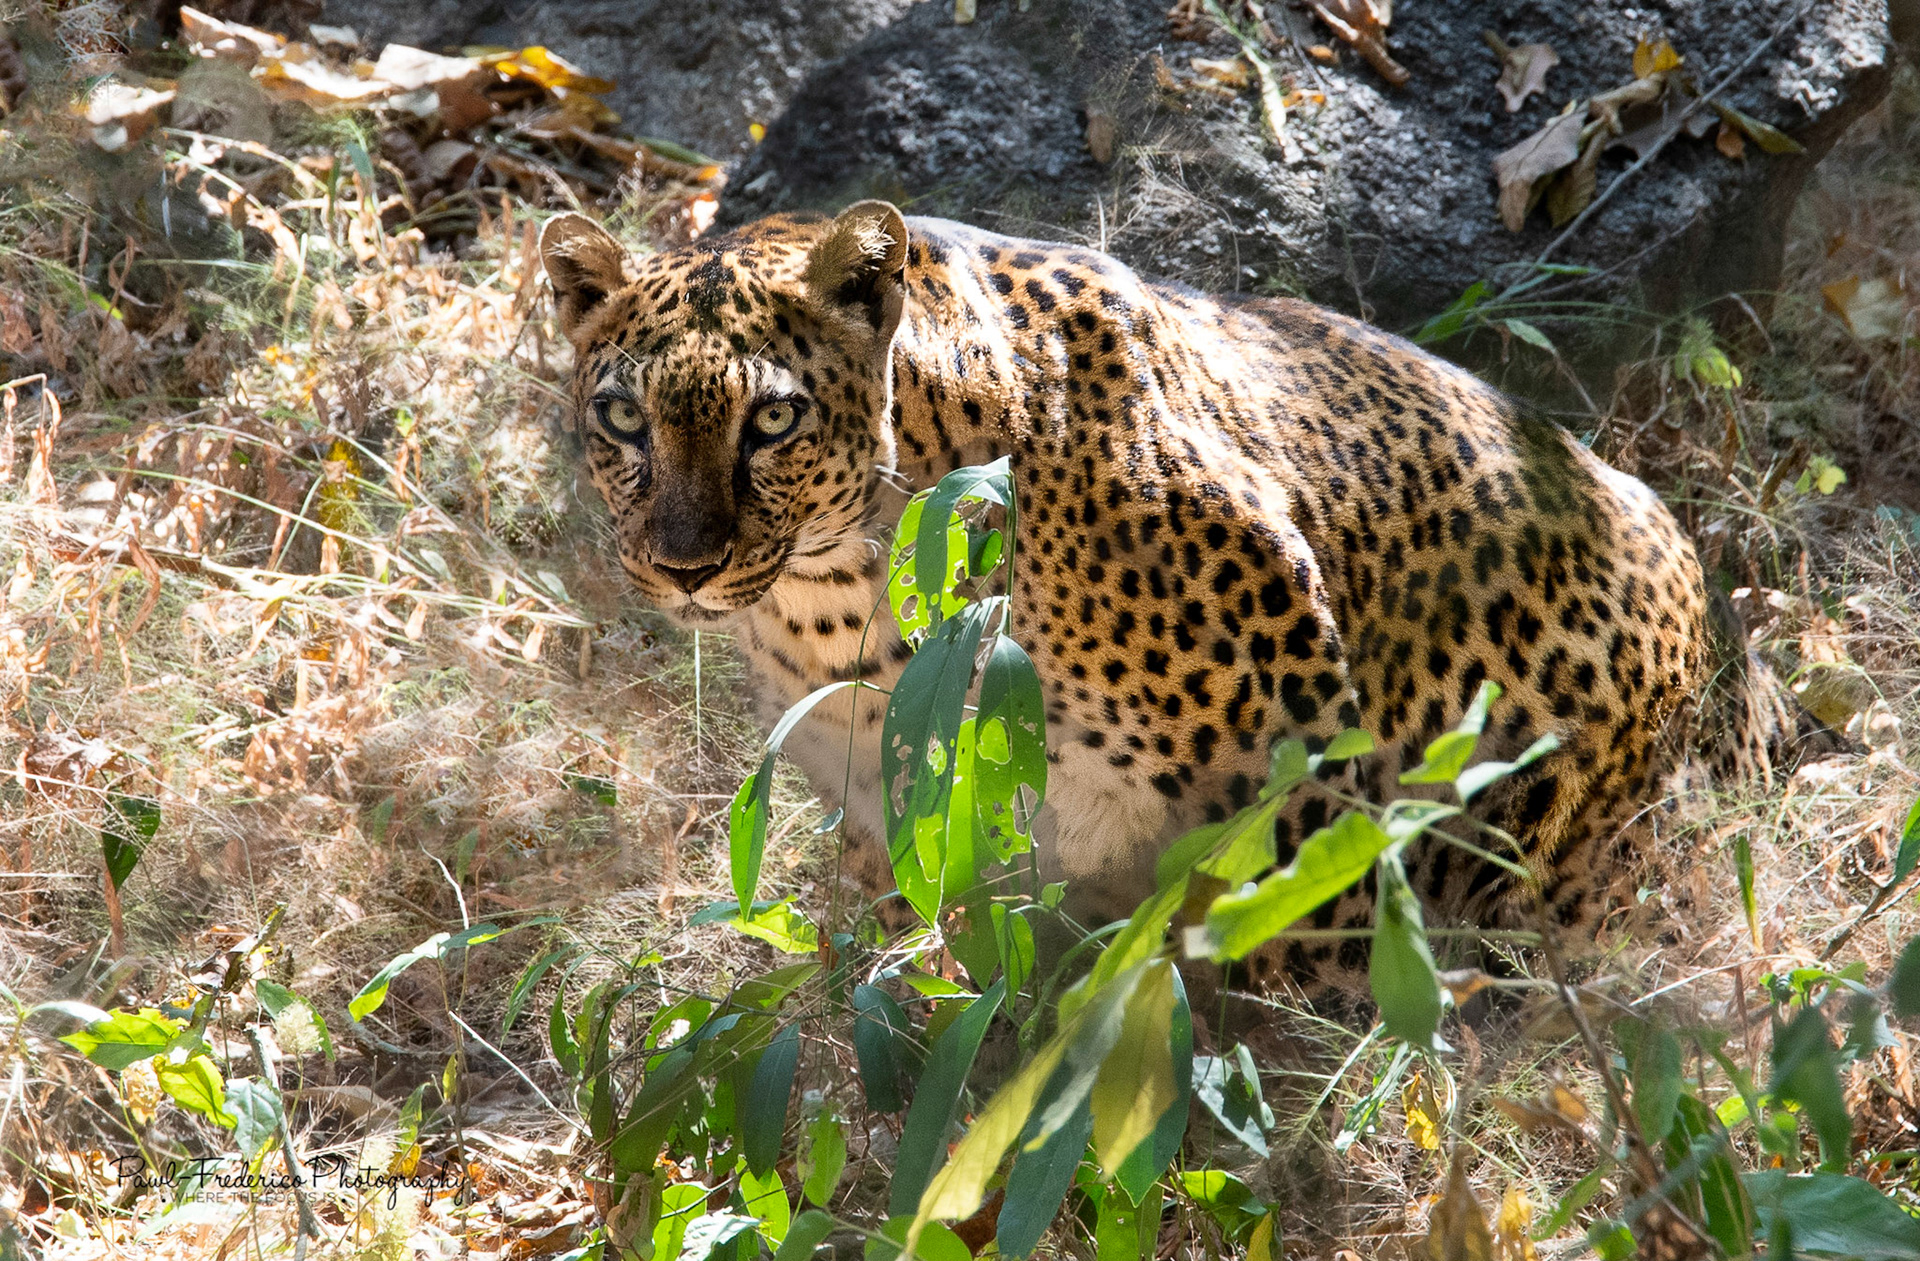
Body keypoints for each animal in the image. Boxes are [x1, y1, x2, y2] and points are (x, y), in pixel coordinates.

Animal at [539, 199, 1732, 991]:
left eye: (773, 420)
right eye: (624, 418)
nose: (683, 563)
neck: (836, 602)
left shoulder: (1292, 740)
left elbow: (1293, 948)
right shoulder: (894, 818)